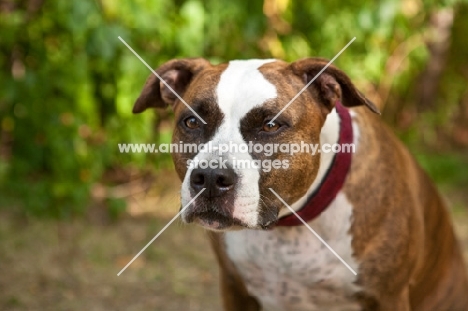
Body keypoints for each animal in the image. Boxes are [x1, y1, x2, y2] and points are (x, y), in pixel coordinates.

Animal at [132, 57, 468, 310]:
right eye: (191, 122)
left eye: (270, 125)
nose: (212, 177)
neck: (290, 227)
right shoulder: (235, 289)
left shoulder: (388, 297)